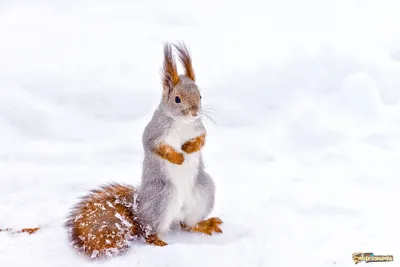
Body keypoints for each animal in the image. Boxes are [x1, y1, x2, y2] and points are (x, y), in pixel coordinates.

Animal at [64, 43, 223, 260]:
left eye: (200, 95)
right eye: (177, 99)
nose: (194, 112)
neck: (182, 122)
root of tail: (138, 208)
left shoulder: (199, 128)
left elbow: (203, 139)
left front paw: (191, 147)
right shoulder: (153, 133)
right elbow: (155, 146)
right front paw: (177, 157)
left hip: (203, 192)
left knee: (187, 225)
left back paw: (203, 225)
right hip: (162, 198)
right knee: (148, 230)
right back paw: (157, 240)